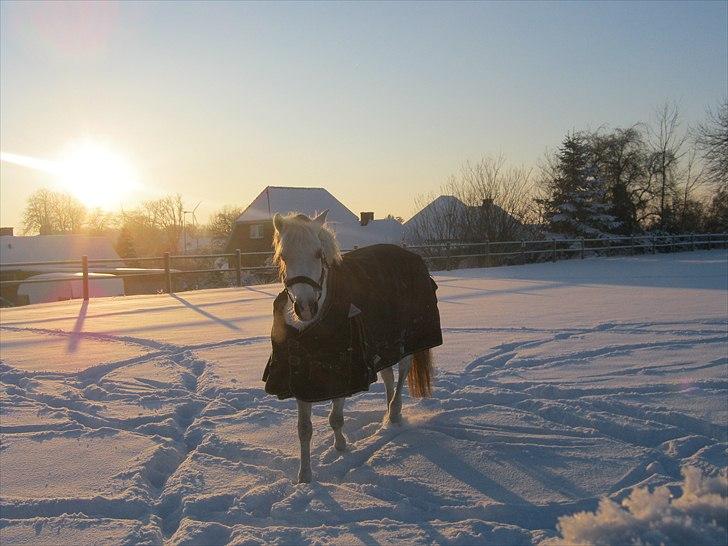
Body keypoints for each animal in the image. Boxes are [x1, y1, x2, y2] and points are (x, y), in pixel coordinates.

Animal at [272, 208, 432, 480]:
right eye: (284, 256)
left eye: (319, 254)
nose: (305, 307)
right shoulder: (301, 376)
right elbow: (304, 429)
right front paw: (305, 476)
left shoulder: (343, 370)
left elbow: (335, 418)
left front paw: (341, 446)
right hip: (381, 347)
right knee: (388, 376)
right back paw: (387, 413)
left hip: (403, 342)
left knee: (402, 371)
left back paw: (395, 412)